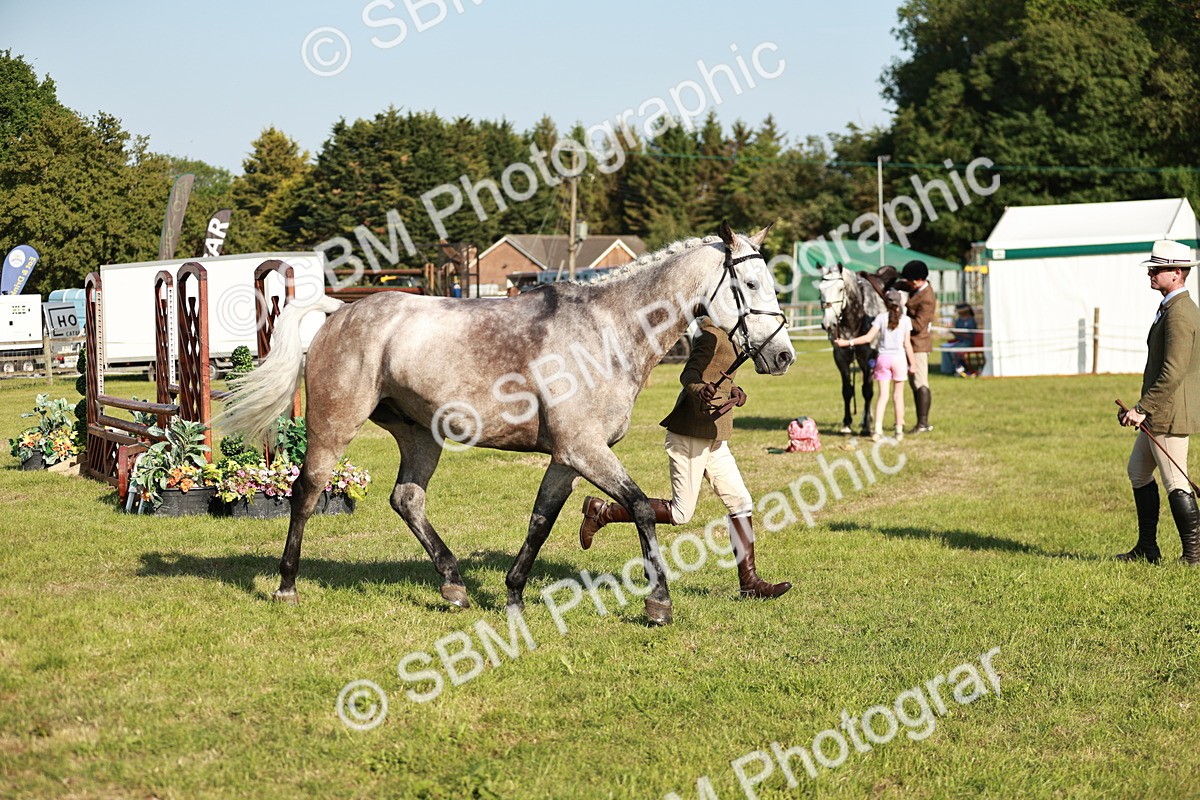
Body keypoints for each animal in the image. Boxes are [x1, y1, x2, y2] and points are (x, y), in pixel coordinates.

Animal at [219, 222, 795, 626]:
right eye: (749, 283)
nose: (783, 355)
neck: (607, 330)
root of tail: (340, 312)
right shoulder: (585, 450)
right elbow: (638, 509)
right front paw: (658, 604)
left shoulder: (568, 457)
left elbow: (541, 521)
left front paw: (514, 592)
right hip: (334, 425)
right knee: (307, 491)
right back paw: (287, 585)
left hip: (420, 434)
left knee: (407, 499)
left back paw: (453, 585)